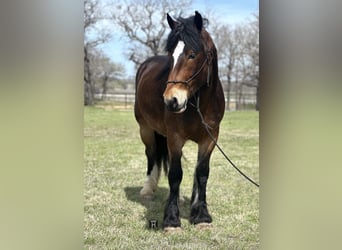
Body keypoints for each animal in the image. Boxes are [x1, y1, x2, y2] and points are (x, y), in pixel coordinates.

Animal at [135, 10, 226, 231]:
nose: (171, 100)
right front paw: (172, 220)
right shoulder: (174, 138)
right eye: (171, 56)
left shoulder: (210, 138)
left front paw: (201, 215)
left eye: (192, 54)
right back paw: (148, 189)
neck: (200, 103)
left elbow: (202, 173)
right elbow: (175, 175)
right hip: (146, 130)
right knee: (151, 155)